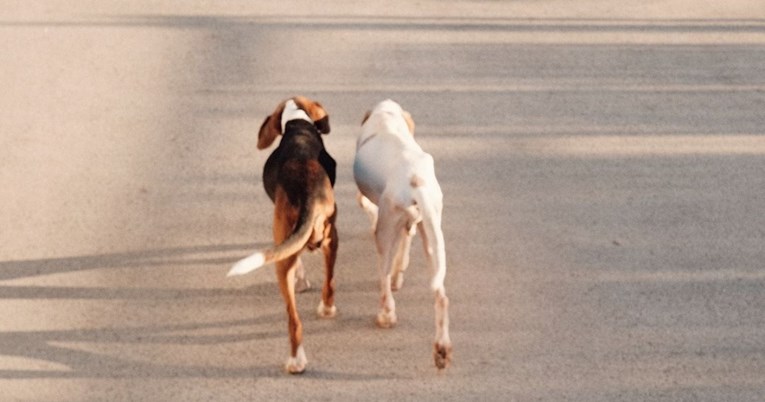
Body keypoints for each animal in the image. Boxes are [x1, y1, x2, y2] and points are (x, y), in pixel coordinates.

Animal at [228, 96, 338, 374]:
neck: (297, 123)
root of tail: (307, 190)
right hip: (332, 239)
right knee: (329, 282)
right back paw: (327, 309)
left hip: (280, 261)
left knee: (293, 321)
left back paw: (295, 361)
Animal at [354, 99, 450, 370]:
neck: (387, 116)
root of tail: (415, 180)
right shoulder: (411, 223)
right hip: (432, 237)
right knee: (441, 296)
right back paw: (441, 349)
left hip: (386, 230)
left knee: (384, 277)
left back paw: (386, 315)